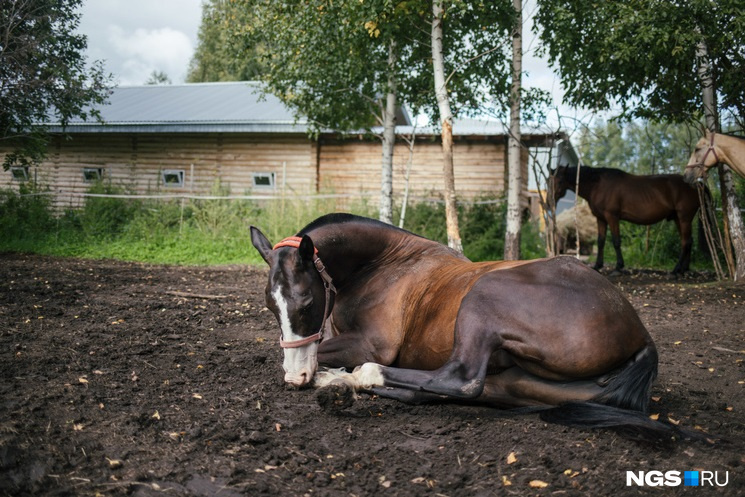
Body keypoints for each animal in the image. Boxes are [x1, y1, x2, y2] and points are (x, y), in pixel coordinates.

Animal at [251, 213, 680, 438]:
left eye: (307, 303)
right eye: (271, 306)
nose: (296, 379)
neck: (380, 264)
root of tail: (640, 333)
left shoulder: (372, 344)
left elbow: (321, 349)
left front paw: (323, 371)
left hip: (484, 297)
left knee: (461, 380)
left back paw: (354, 379)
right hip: (522, 384)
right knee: (465, 389)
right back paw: (343, 384)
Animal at [552, 167, 704, 276]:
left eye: (560, 181)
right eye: (551, 180)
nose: (551, 200)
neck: (598, 185)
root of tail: (695, 185)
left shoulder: (612, 216)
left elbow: (616, 241)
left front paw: (618, 267)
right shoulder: (601, 218)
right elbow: (601, 241)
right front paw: (597, 265)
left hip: (684, 218)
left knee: (685, 242)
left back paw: (675, 270)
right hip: (678, 218)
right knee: (688, 241)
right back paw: (684, 269)